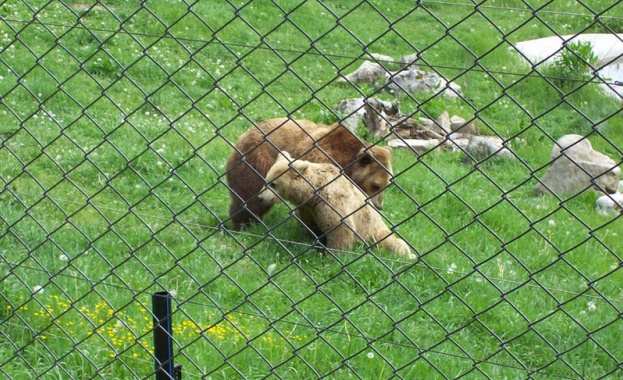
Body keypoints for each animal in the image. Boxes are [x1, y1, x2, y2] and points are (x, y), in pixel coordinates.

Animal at [225, 117, 394, 227]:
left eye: (387, 185)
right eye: (376, 185)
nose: (379, 206)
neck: (347, 163)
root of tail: (245, 134)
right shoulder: (322, 160)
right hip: (257, 160)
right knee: (251, 196)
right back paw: (244, 223)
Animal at [258, 151, 414, 258]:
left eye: (274, 184)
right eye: (266, 180)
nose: (260, 197)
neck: (312, 192)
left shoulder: (332, 201)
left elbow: (339, 227)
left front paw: (332, 256)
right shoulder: (308, 208)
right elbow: (310, 225)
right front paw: (308, 241)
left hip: (373, 231)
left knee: (394, 243)